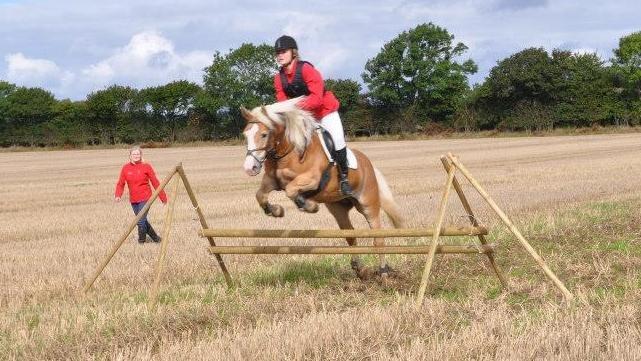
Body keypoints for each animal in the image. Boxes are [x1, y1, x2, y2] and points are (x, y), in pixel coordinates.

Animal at [240, 97, 404, 278]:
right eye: (245, 135)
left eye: (264, 134)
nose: (250, 168)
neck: (289, 151)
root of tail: (368, 164)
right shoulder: (272, 181)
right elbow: (260, 195)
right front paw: (276, 210)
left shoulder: (312, 179)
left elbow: (291, 190)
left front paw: (310, 206)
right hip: (338, 208)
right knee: (350, 234)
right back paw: (359, 268)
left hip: (368, 204)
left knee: (378, 236)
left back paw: (383, 272)